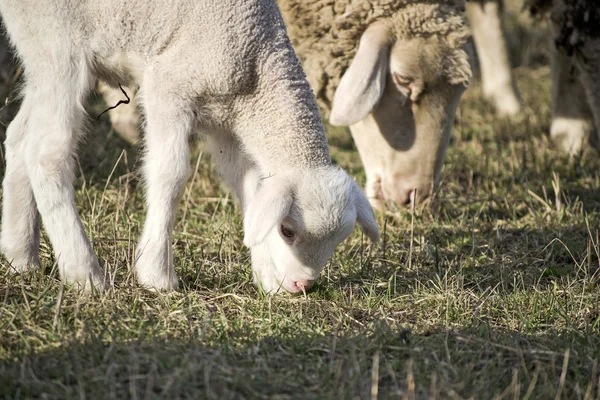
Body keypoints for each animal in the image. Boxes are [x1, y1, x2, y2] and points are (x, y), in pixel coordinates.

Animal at [0, 0, 380, 294]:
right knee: (47, 153)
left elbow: (250, 188)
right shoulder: (169, 88)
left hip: (39, 53)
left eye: (339, 241)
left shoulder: (226, 125)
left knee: (19, 138)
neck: (258, 66)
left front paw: (268, 279)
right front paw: (156, 275)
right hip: (57, 43)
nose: (304, 285)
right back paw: (85, 274)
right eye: (287, 230)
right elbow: (170, 175)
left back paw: (21, 255)